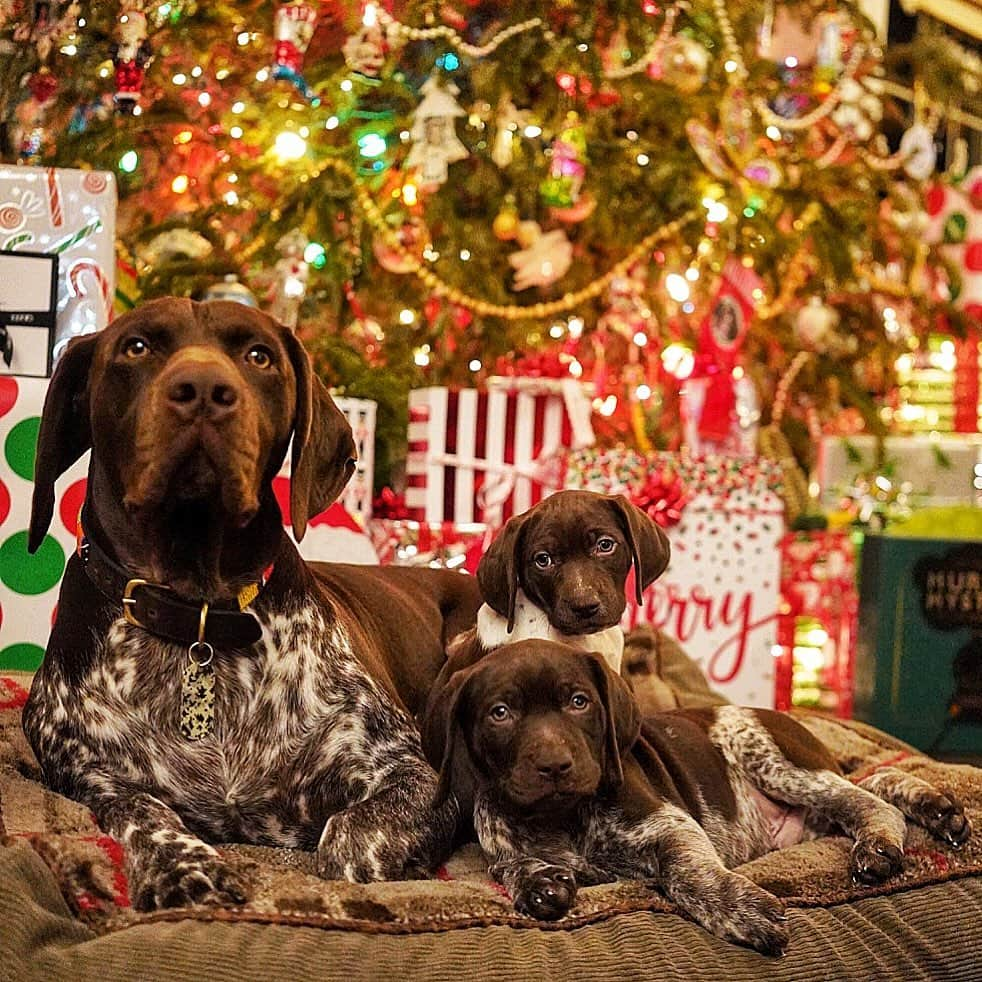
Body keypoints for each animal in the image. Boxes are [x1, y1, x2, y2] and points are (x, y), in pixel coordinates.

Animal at [23, 296, 480, 912]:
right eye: (137, 347)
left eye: (258, 356)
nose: (203, 389)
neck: (199, 619)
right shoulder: (91, 777)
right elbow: (142, 812)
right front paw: (183, 865)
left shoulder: (409, 769)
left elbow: (347, 840)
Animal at [424, 640, 976, 956]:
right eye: (500, 713)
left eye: (578, 702)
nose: (555, 766)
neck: (561, 818)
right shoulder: (502, 846)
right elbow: (508, 867)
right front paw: (538, 882)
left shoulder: (671, 826)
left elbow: (687, 874)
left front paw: (740, 910)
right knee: (870, 787)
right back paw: (937, 811)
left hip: (778, 763)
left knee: (870, 799)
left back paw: (884, 845)